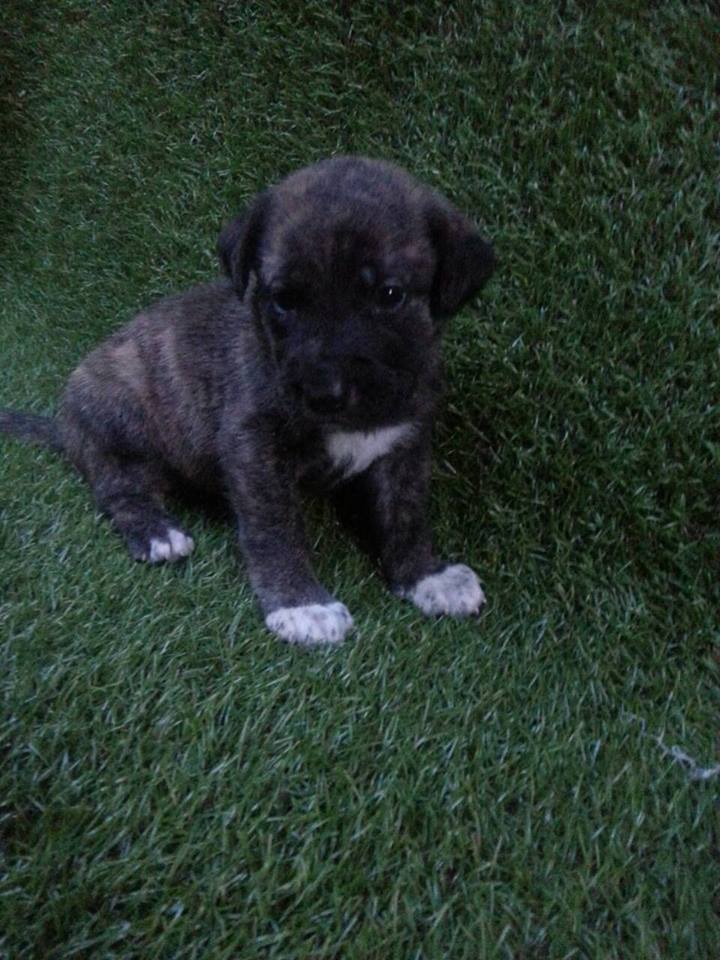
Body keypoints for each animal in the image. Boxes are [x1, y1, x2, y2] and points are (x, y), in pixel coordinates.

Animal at [0, 156, 495, 645]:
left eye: (390, 295)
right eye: (283, 299)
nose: (322, 393)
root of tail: (64, 424)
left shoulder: (404, 444)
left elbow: (405, 514)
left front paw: (425, 575)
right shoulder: (255, 446)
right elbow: (274, 527)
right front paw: (299, 602)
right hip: (119, 410)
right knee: (116, 488)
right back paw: (156, 530)